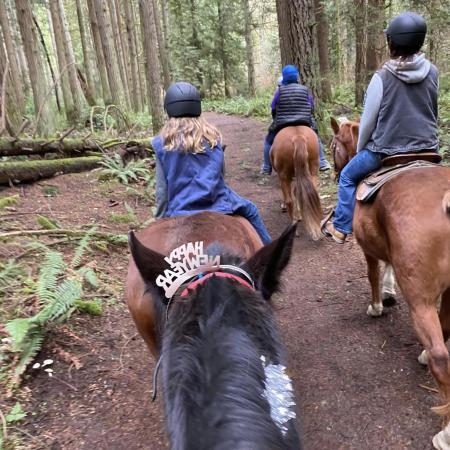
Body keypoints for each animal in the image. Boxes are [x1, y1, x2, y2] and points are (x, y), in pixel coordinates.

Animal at [330, 117, 450, 450]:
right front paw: (388, 292)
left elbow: (373, 273)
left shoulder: (367, 248)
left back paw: (445, 433)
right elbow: (388, 269)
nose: (333, 171)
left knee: (441, 356)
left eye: (333, 145)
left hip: (421, 299)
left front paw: (376, 306)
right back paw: (423, 354)